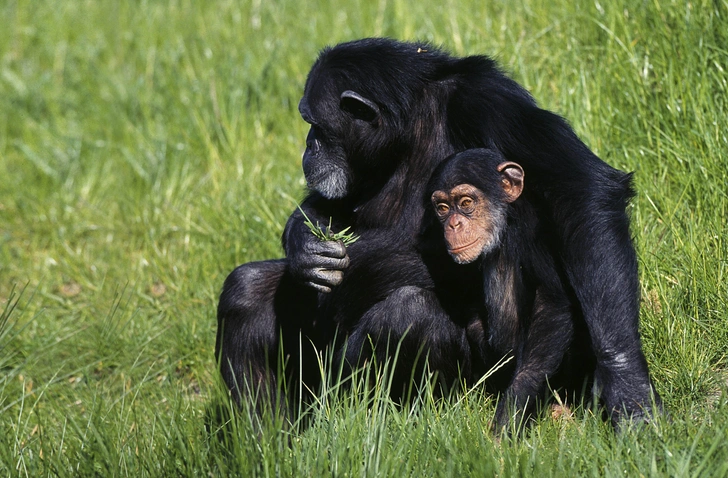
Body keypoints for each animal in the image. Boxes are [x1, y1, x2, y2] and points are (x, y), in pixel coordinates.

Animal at [426, 149, 592, 430]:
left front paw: (510, 415)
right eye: (443, 208)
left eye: (466, 202)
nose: (453, 224)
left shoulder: (530, 233)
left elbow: (553, 304)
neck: (506, 222)